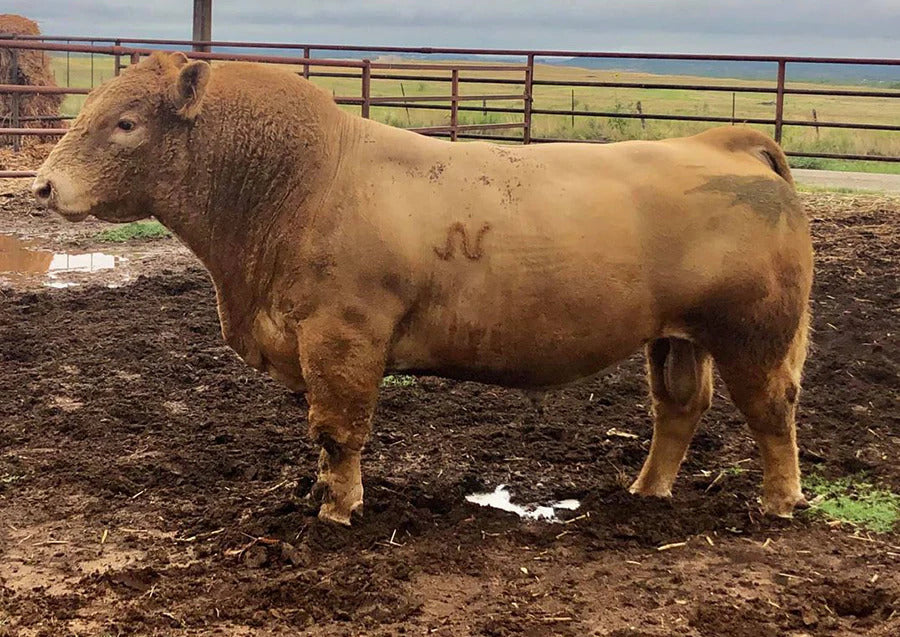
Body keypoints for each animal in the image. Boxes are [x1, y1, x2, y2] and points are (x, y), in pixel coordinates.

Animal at [33, 52, 813, 526]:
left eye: (126, 122)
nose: (41, 185)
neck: (299, 183)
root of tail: (723, 142)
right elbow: (323, 436)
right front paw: (322, 493)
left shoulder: (343, 337)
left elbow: (337, 430)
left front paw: (337, 511)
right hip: (678, 336)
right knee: (678, 408)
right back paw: (645, 493)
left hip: (754, 335)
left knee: (772, 411)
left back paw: (779, 503)